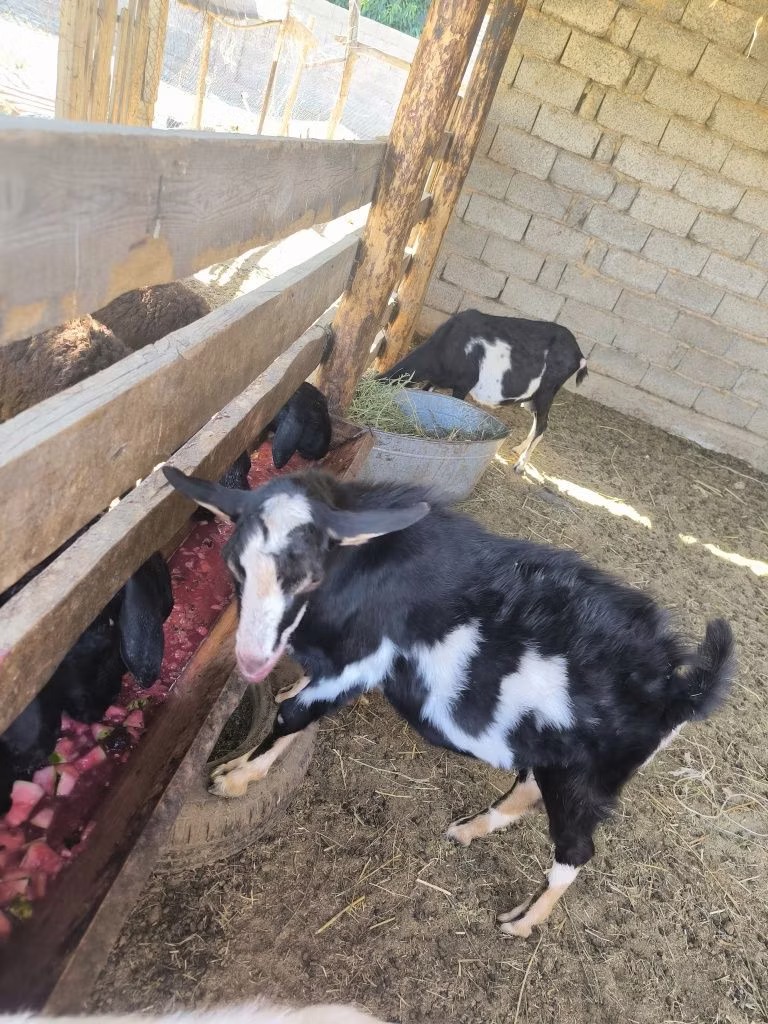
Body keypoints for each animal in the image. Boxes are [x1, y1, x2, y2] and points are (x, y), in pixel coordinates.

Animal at [164, 466, 734, 939]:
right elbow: (300, 712)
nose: (252, 659)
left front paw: (235, 778)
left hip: (587, 779)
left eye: (310, 575)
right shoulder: (342, 667)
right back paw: (467, 831)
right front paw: (241, 763)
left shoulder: (361, 662)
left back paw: (522, 922)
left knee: (576, 851)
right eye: (234, 566)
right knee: (526, 789)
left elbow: (294, 715)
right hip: (550, 754)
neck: (361, 573)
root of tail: (680, 689)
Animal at [378, 309, 588, 473]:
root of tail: (579, 355)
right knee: (538, 420)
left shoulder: (463, 385)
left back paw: (520, 466)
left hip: (546, 391)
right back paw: (519, 449)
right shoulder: (435, 380)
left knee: (542, 426)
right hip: (534, 397)